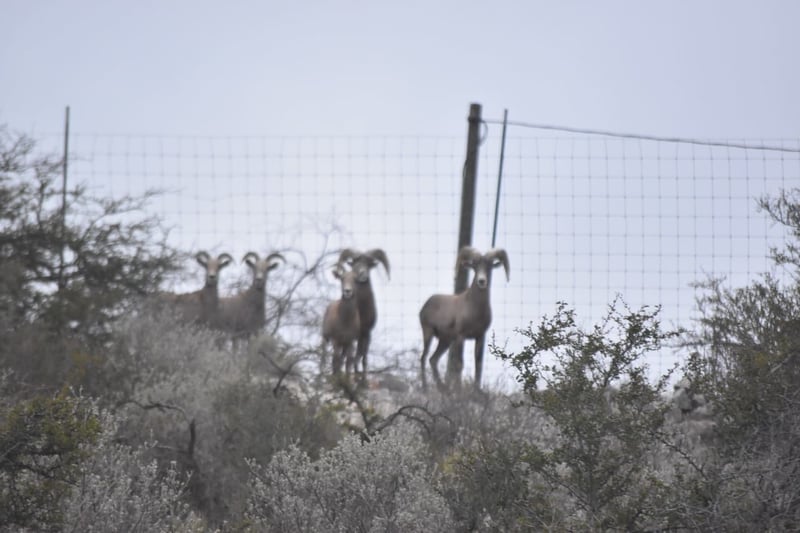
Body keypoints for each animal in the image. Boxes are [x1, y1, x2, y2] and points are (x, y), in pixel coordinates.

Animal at [416, 245, 510, 390]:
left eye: (489, 266)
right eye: (475, 266)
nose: (481, 281)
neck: (474, 309)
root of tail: (426, 305)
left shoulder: (480, 336)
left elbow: (478, 365)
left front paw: (477, 390)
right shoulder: (461, 337)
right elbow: (459, 364)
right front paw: (459, 390)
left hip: (445, 341)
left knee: (433, 360)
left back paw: (442, 388)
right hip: (429, 333)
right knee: (423, 358)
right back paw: (426, 388)